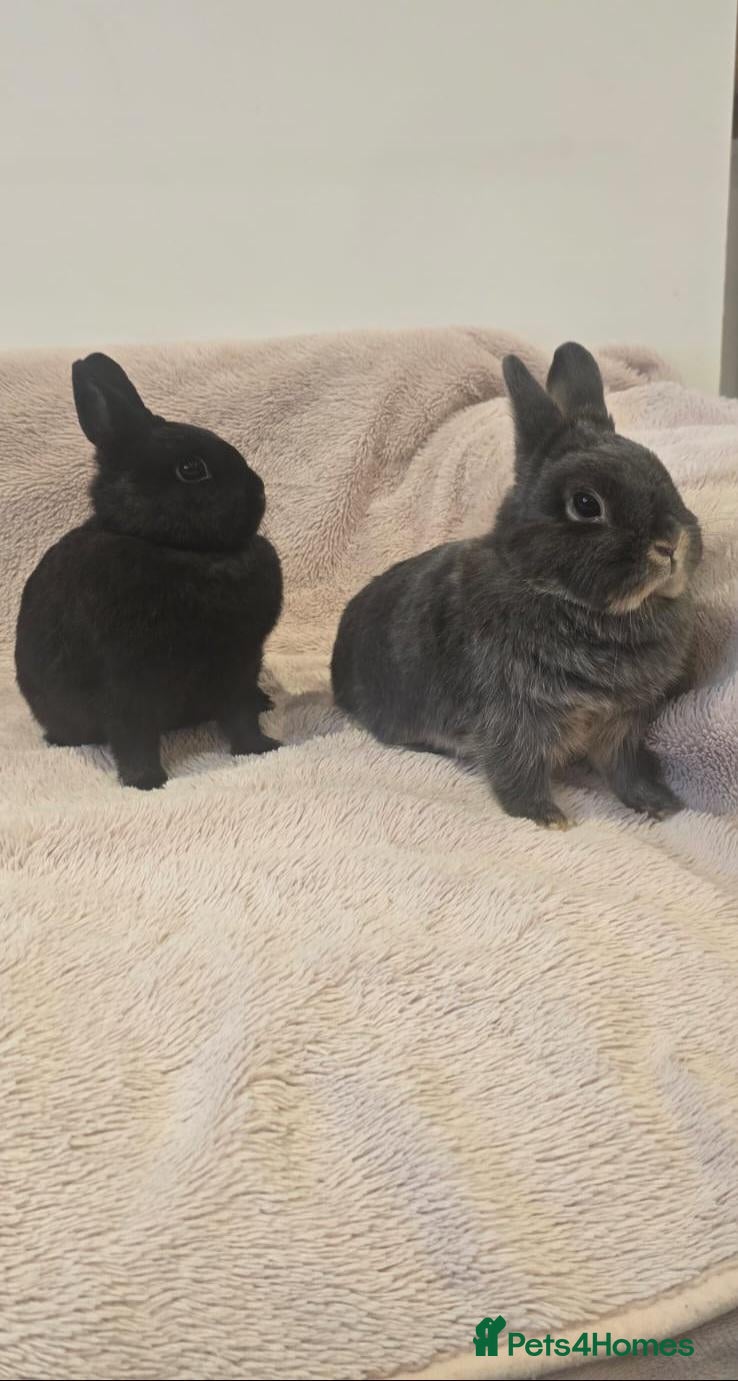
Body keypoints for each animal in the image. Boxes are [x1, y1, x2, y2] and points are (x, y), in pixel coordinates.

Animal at [15, 353, 282, 789]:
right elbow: (133, 735)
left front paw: (261, 748)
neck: (181, 549)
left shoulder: (240, 663)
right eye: (191, 468)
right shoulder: (128, 681)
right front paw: (146, 781)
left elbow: (241, 715)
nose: (258, 490)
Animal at [331, 342, 702, 829]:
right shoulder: (514, 716)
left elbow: (627, 769)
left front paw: (659, 805)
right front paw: (548, 817)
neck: (552, 591)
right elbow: (517, 769)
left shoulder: (623, 723)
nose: (671, 543)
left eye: (662, 471)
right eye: (586, 504)